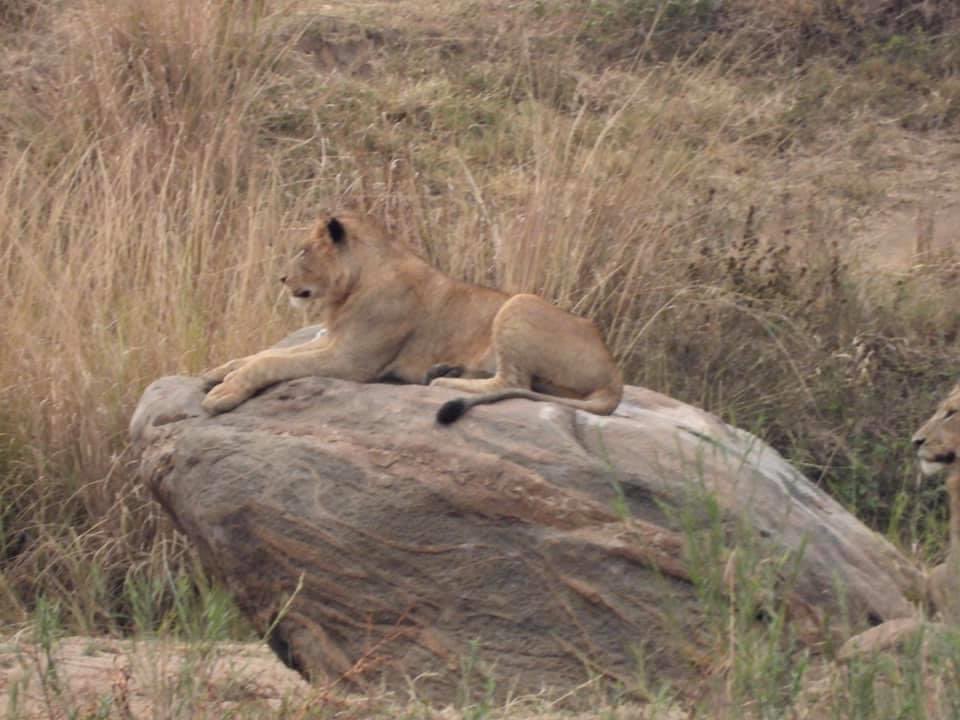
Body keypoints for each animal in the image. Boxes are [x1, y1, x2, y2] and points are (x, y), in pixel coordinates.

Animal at [201, 212, 623, 424]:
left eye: (303, 251)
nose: (282, 279)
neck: (351, 287)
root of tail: (614, 376)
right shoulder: (334, 340)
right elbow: (263, 355)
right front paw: (217, 372)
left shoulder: (351, 360)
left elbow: (271, 362)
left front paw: (223, 394)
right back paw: (445, 369)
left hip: (520, 303)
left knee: (513, 381)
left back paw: (442, 380)